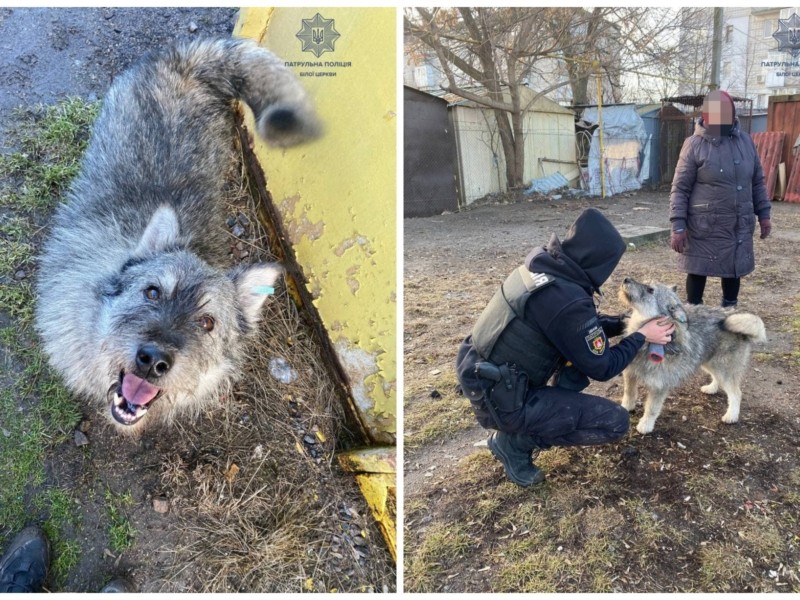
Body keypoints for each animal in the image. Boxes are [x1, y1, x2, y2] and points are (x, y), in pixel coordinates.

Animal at [616, 276, 764, 436]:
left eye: (650, 290)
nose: (626, 279)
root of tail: (733, 316)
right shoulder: (630, 373)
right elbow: (629, 393)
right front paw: (625, 407)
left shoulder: (660, 385)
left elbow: (652, 408)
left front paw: (645, 425)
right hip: (710, 362)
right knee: (718, 379)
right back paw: (712, 388)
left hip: (724, 368)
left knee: (736, 393)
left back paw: (731, 415)